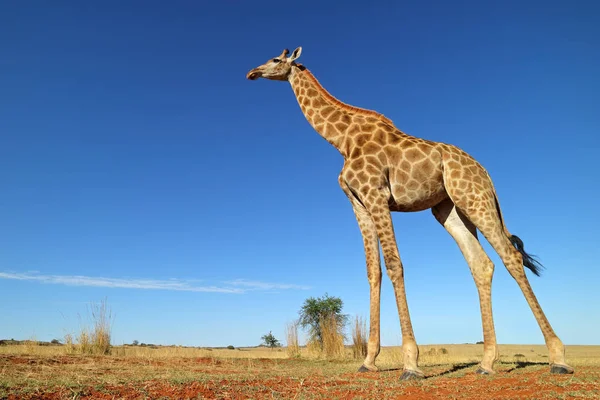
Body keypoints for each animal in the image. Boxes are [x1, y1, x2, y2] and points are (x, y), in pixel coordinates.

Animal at [246, 47, 576, 382]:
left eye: (276, 60)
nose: (252, 73)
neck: (342, 140)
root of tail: (486, 173)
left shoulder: (377, 196)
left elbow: (394, 265)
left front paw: (410, 363)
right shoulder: (358, 203)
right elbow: (373, 271)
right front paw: (368, 360)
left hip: (475, 199)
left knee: (510, 256)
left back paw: (558, 357)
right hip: (449, 209)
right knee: (481, 264)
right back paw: (486, 363)